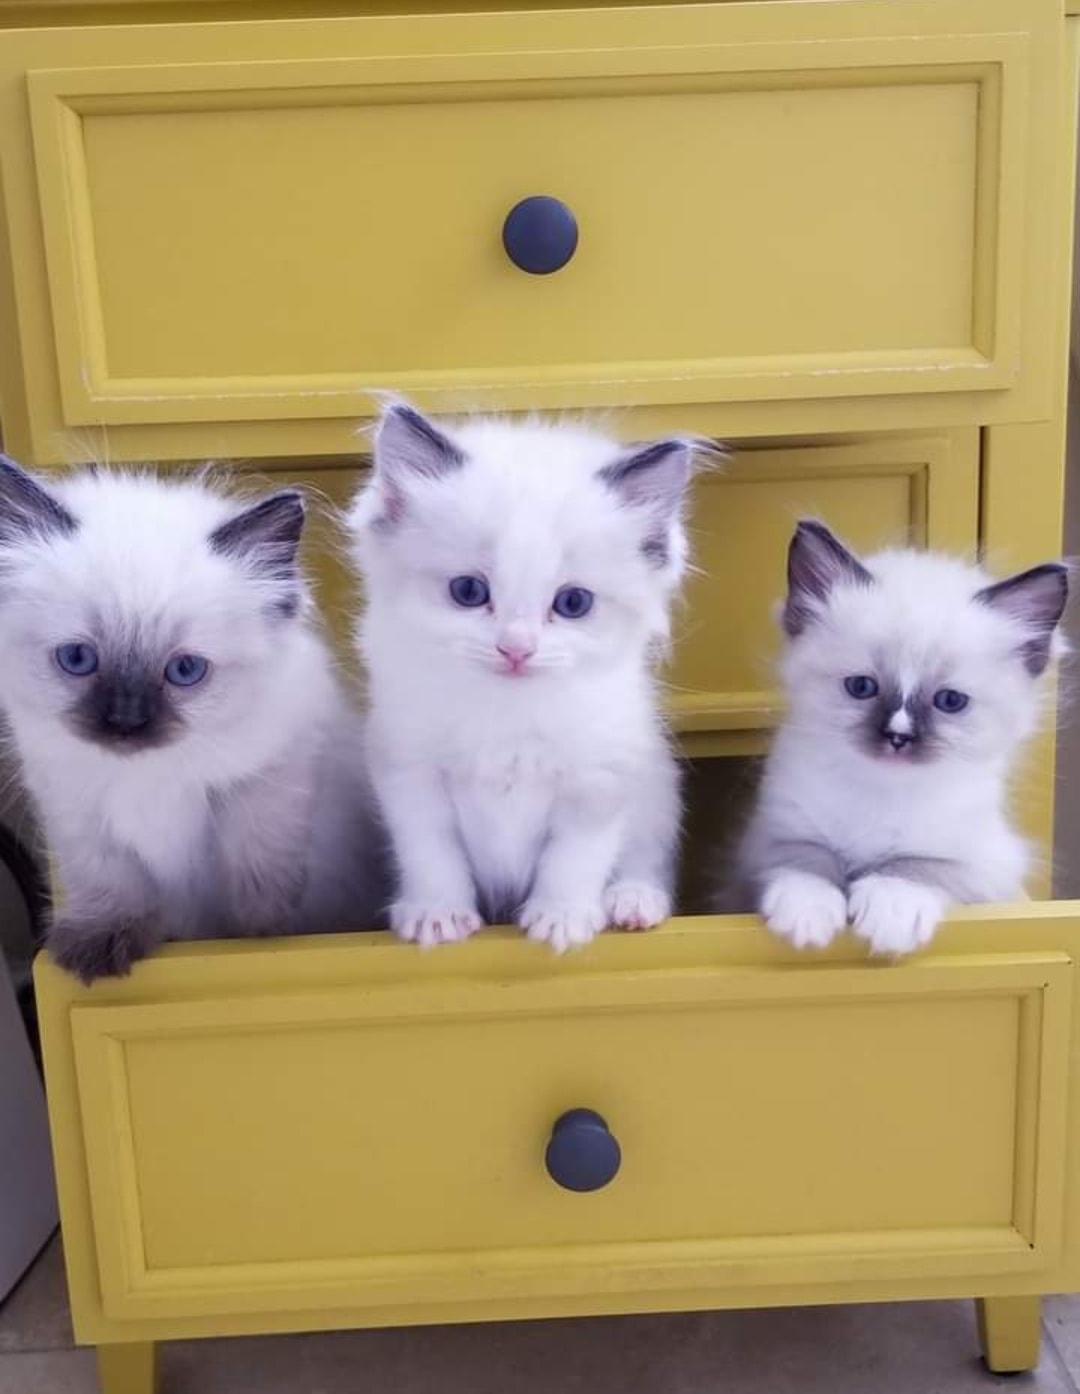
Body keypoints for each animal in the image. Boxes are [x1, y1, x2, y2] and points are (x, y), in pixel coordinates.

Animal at [0, 458, 384, 982]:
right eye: (77, 659)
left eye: (185, 670)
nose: (126, 723)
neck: (147, 777)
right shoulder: (77, 810)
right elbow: (110, 883)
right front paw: (101, 944)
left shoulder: (265, 783)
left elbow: (257, 872)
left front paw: (260, 938)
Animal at [348, 401, 696, 953]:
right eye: (469, 592)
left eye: (573, 603)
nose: (516, 649)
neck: (505, 716)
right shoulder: (410, 771)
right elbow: (432, 852)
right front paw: (437, 915)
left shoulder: (600, 777)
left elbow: (573, 857)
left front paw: (561, 918)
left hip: (658, 792)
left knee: (647, 859)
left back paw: (632, 902)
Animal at [728, 519, 1068, 956]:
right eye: (861, 687)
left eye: (950, 701)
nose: (898, 736)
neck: (881, 791)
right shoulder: (767, 839)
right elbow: (807, 860)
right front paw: (807, 915)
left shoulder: (987, 865)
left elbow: (916, 867)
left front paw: (891, 912)